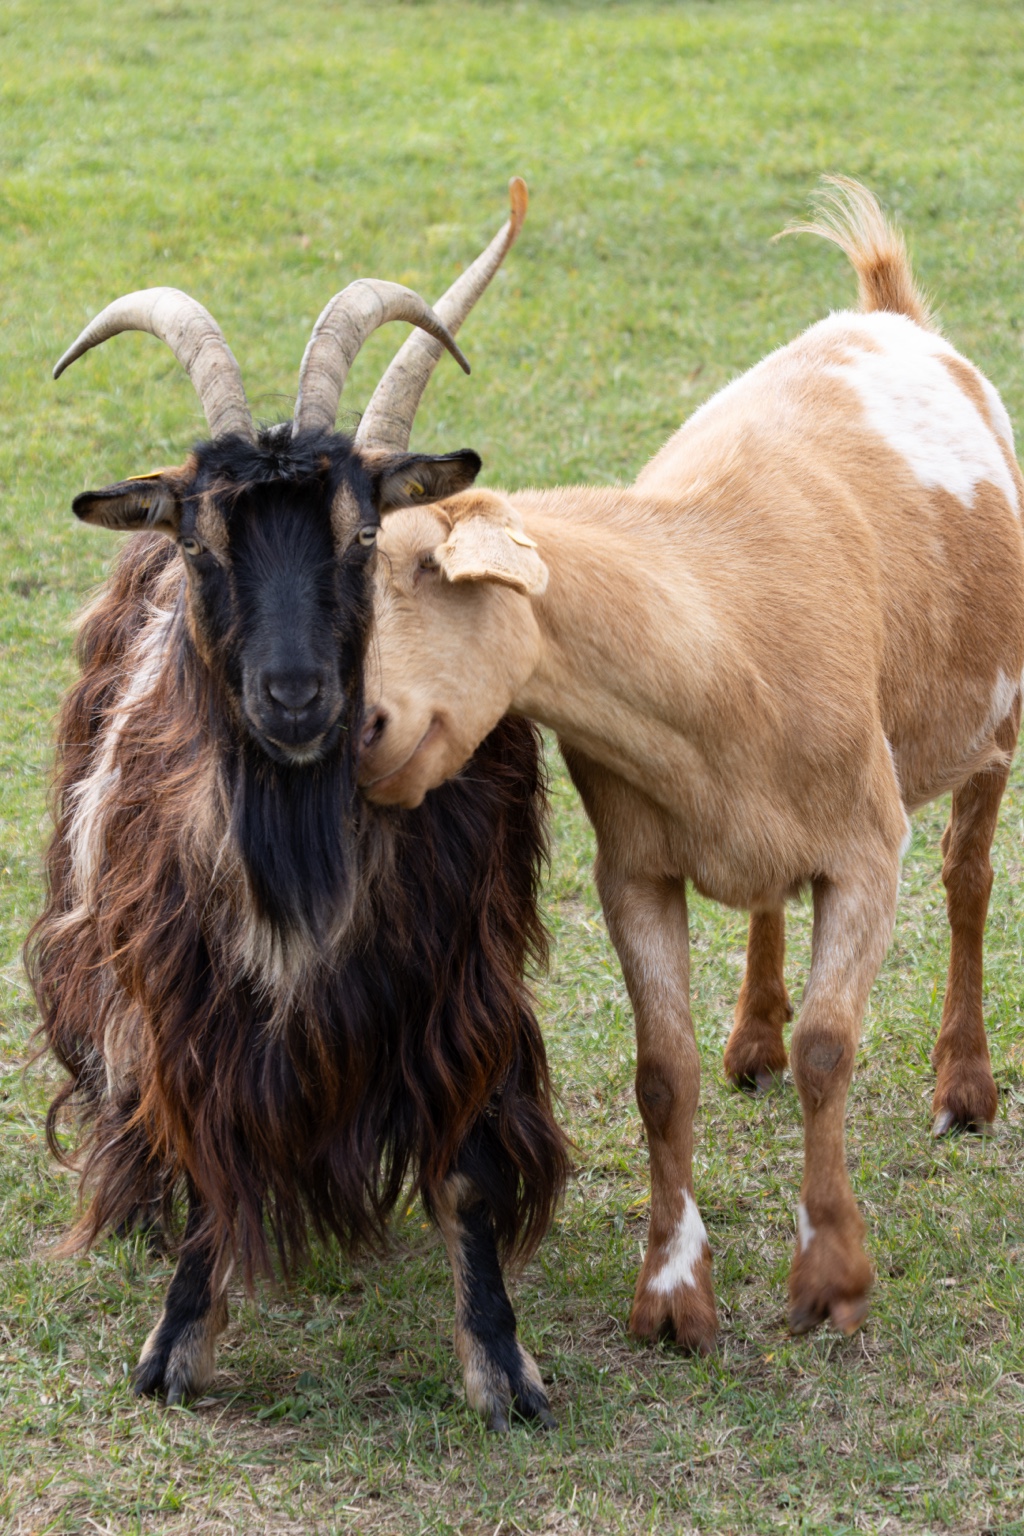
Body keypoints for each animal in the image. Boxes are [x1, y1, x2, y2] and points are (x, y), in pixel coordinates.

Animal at [27, 182, 569, 1431]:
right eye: (202, 542)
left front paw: (500, 1366)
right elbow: (203, 1153)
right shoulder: (182, 994)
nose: (292, 694)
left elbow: (469, 1169)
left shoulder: (459, 981)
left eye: (360, 535)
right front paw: (176, 1341)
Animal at [359, 179, 1024, 1351]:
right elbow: (660, 1075)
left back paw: (964, 1087)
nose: (358, 730)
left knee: (969, 878)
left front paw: (831, 1280)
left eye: (426, 569)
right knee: (767, 905)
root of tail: (889, 311)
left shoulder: (867, 850)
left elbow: (829, 1048)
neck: (720, 624)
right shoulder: (634, 866)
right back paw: (750, 1037)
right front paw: (672, 1297)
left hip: (995, 715)